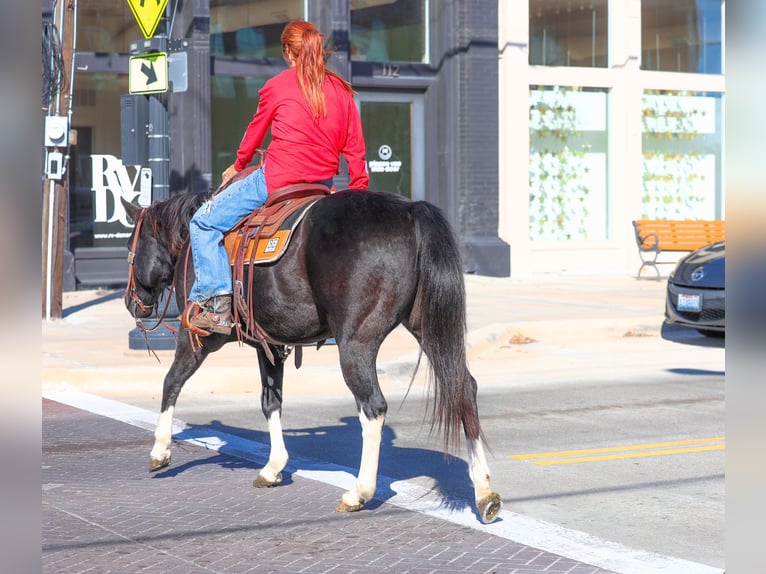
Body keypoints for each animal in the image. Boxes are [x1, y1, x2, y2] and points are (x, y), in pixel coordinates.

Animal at [121, 187, 502, 524]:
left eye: (130, 247)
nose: (130, 302)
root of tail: (409, 211)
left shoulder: (197, 339)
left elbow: (172, 382)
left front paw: (160, 450)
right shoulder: (269, 345)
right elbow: (270, 402)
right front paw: (273, 467)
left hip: (356, 343)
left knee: (373, 406)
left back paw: (359, 492)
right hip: (428, 327)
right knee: (463, 388)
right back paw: (484, 492)